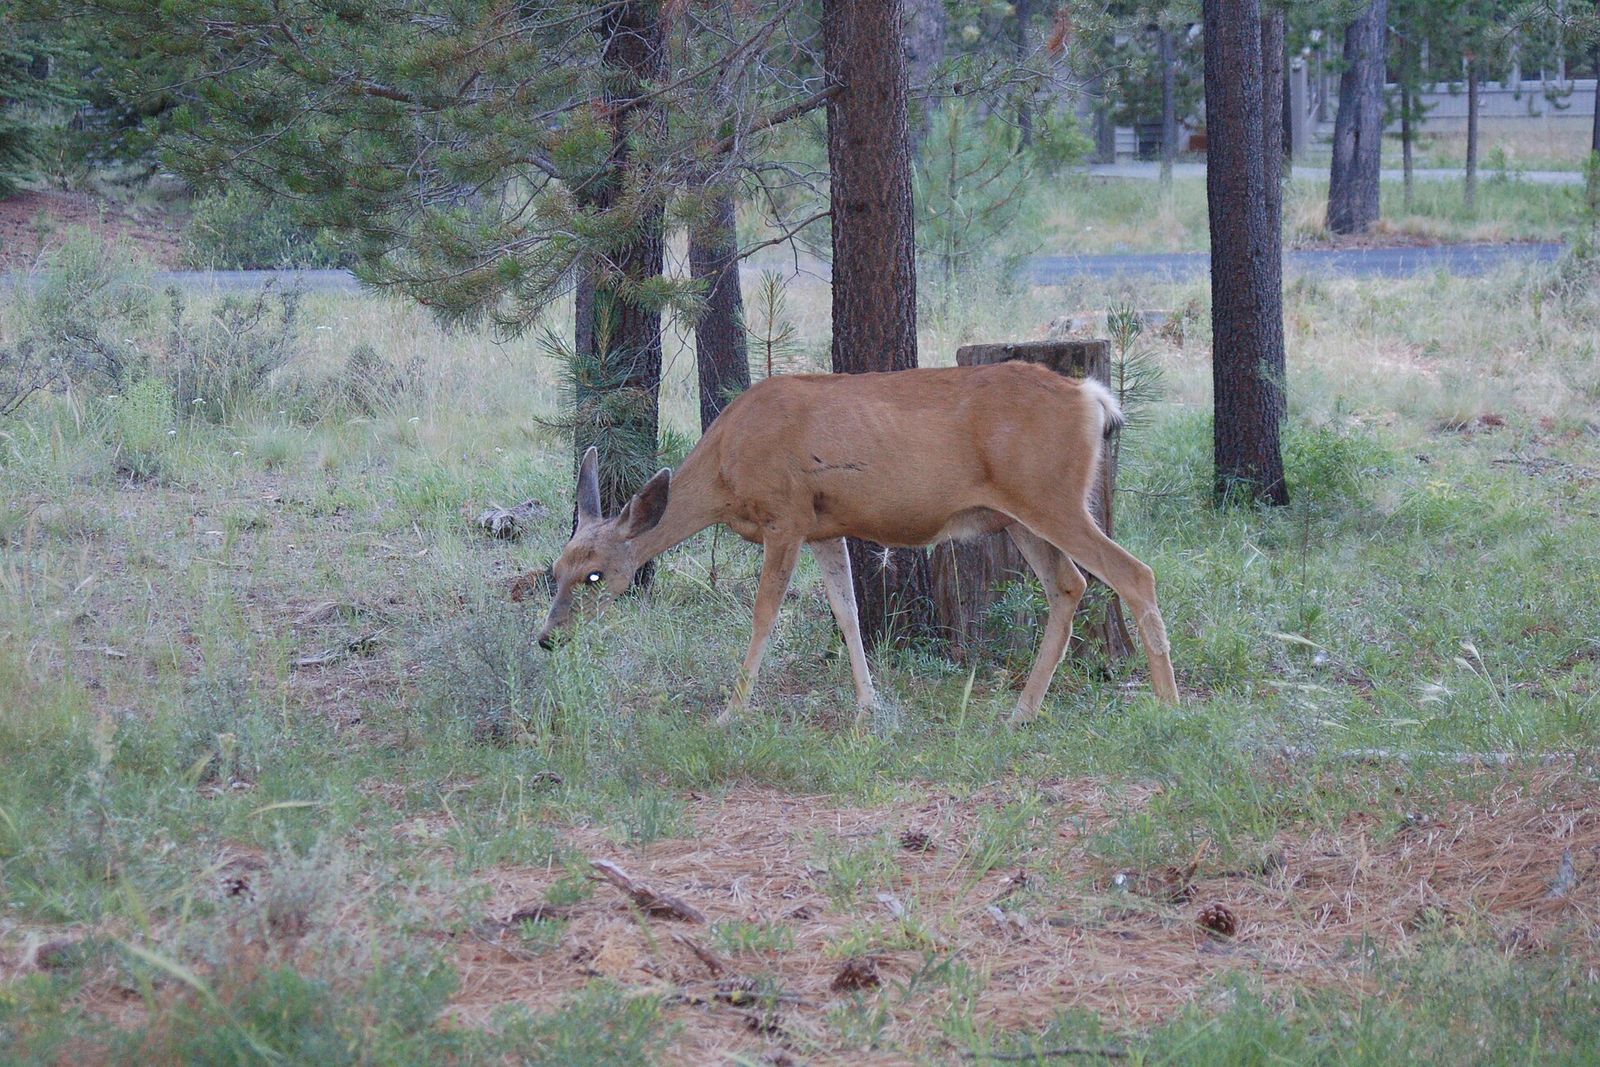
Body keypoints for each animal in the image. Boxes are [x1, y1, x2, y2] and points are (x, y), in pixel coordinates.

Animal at [536, 360, 1179, 723]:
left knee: (1134, 574)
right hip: (1020, 515)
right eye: (554, 572)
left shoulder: (787, 514)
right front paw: (870, 707)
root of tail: (1092, 396)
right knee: (1068, 586)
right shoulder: (825, 527)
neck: (725, 469)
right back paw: (1022, 711)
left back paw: (1169, 706)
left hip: (1052, 496)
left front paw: (731, 711)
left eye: (594, 575)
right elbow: (846, 612)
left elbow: (765, 613)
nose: (547, 638)